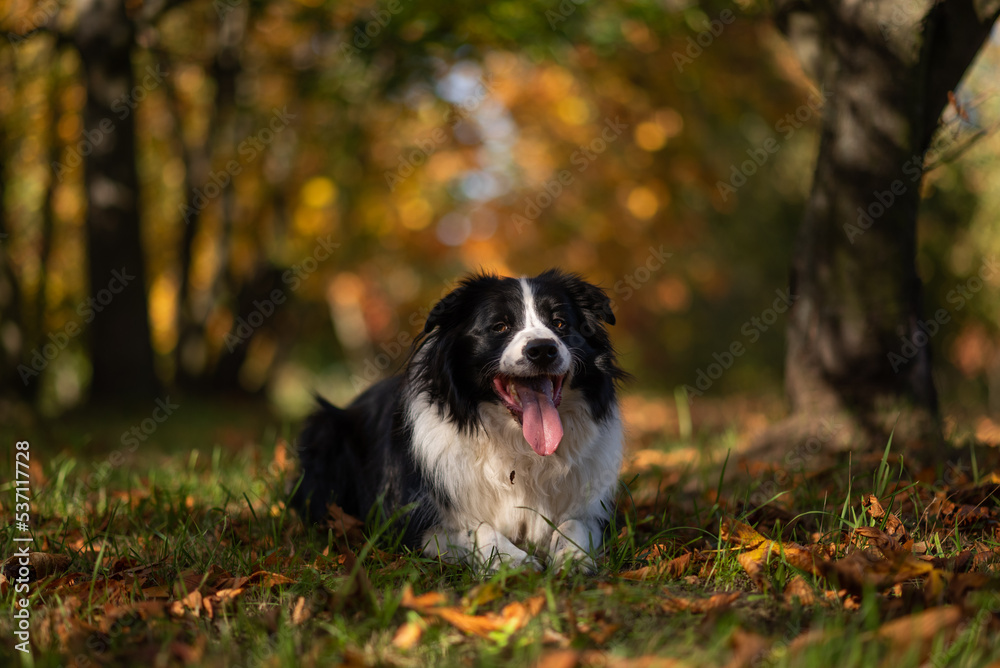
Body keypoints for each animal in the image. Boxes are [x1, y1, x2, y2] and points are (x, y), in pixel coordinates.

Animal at [290, 268, 628, 572]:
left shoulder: (591, 506)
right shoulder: (409, 523)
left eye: (559, 323)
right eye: (500, 326)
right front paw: (514, 561)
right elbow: (477, 528)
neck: (516, 446)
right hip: (323, 429)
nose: (543, 349)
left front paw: (572, 556)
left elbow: (575, 523)